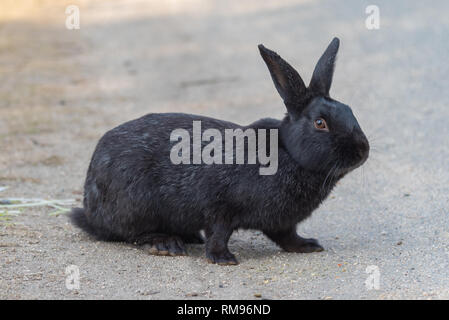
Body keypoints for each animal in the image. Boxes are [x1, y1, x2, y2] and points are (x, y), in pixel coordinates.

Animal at [72, 38, 370, 264]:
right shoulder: (219, 207)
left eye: (350, 110)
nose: (362, 150)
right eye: (320, 123)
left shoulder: (281, 222)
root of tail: (89, 206)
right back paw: (167, 244)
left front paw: (307, 245)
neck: (286, 154)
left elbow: (287, 237)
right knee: (131, 234)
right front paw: (223, 259)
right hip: (137, 205)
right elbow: (219, 232)